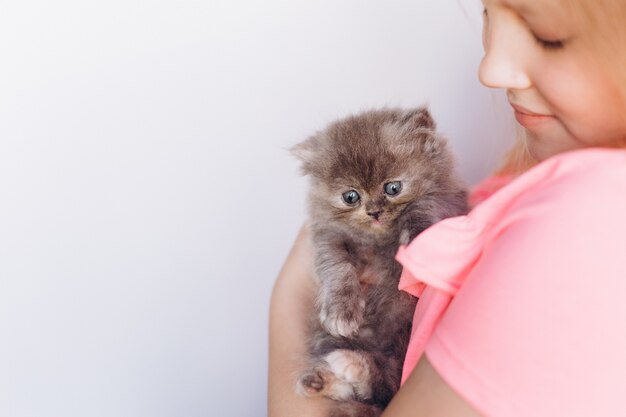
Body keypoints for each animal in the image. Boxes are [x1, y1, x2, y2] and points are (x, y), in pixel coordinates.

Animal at [290, 106, 466, 416]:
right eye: (350, 196)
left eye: (393, 188)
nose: (373, 212)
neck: (378, 241)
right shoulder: (327, 239)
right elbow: (337, 268)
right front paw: (341, 310)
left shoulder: (449, 202)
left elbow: (422, 205)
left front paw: (416, 238)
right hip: (327, 337)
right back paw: (323, 379)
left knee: (385, 385)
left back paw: (349, 367)